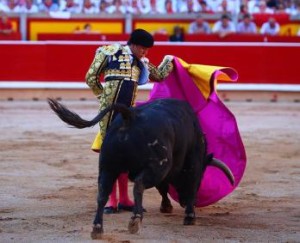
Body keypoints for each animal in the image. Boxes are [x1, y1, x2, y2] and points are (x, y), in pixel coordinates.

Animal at [47, 98, 234, 239]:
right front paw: (189, 216)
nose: (182, 202)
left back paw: (97, 228)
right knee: (138, 185)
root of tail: (130, 115)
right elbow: (186, 186)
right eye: (203, 175)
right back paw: (135, 220)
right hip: (157, 166)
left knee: (102, 194)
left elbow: (163, 188)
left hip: (107, 168)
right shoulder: (189, 165)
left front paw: (167, 207)